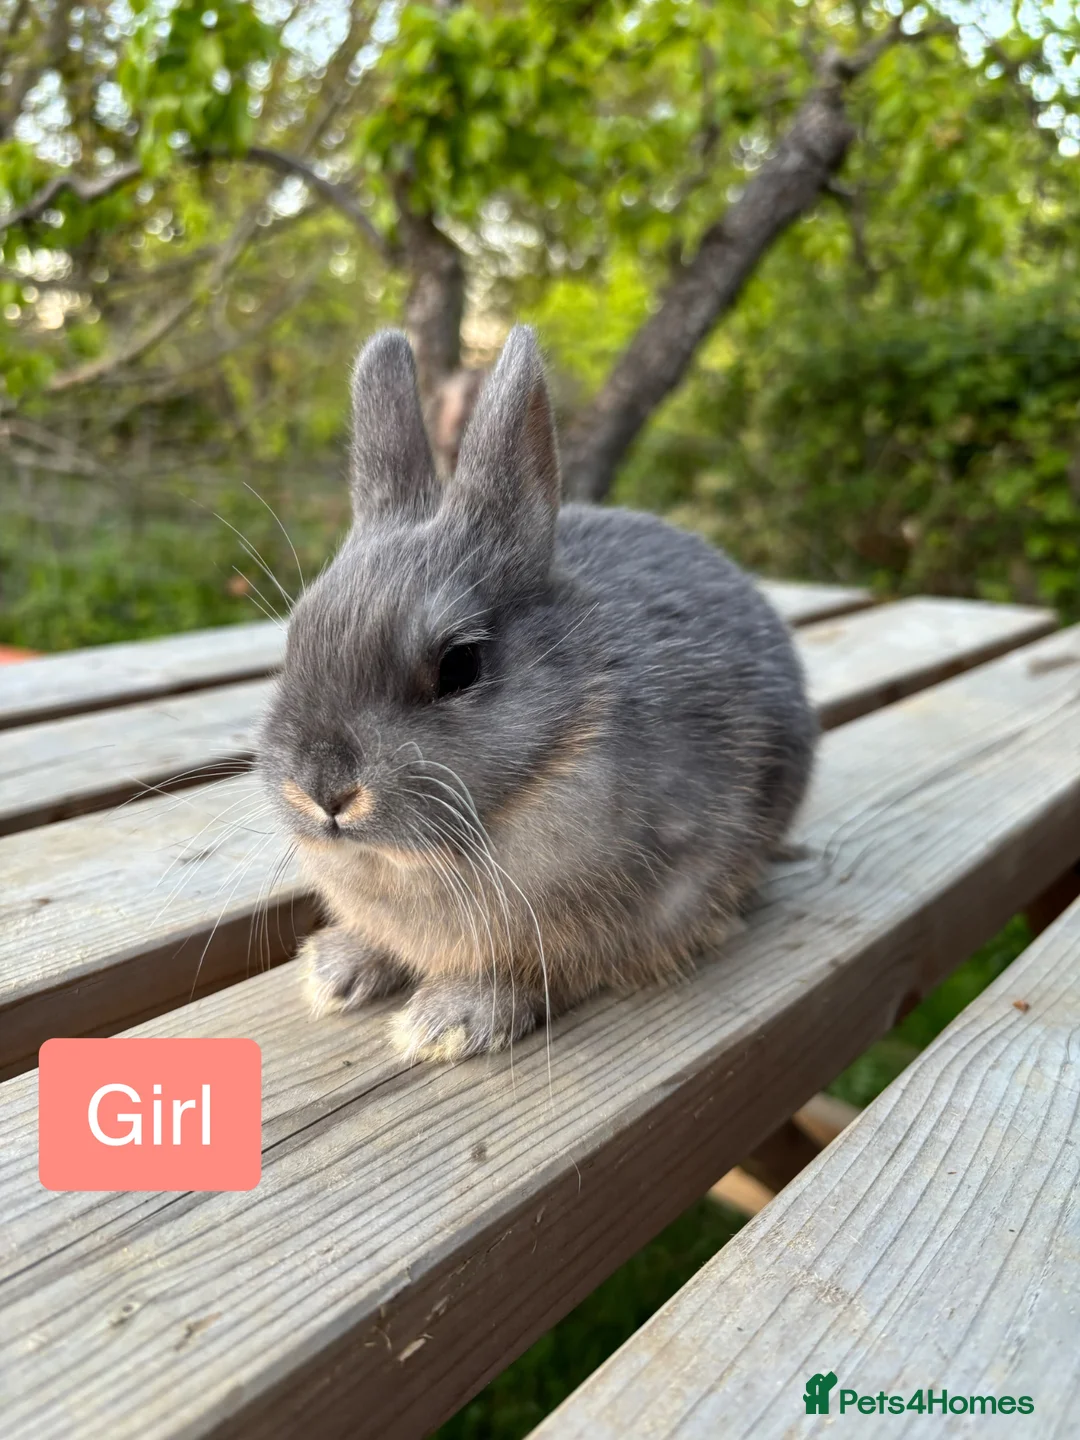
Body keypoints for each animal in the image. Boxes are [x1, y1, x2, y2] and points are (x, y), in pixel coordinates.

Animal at [259, 324, 816, 1063]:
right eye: (295, 637)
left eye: (459, 665)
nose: (323, 791)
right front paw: (339, 969)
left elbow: (538, 973)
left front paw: (448, 1021)